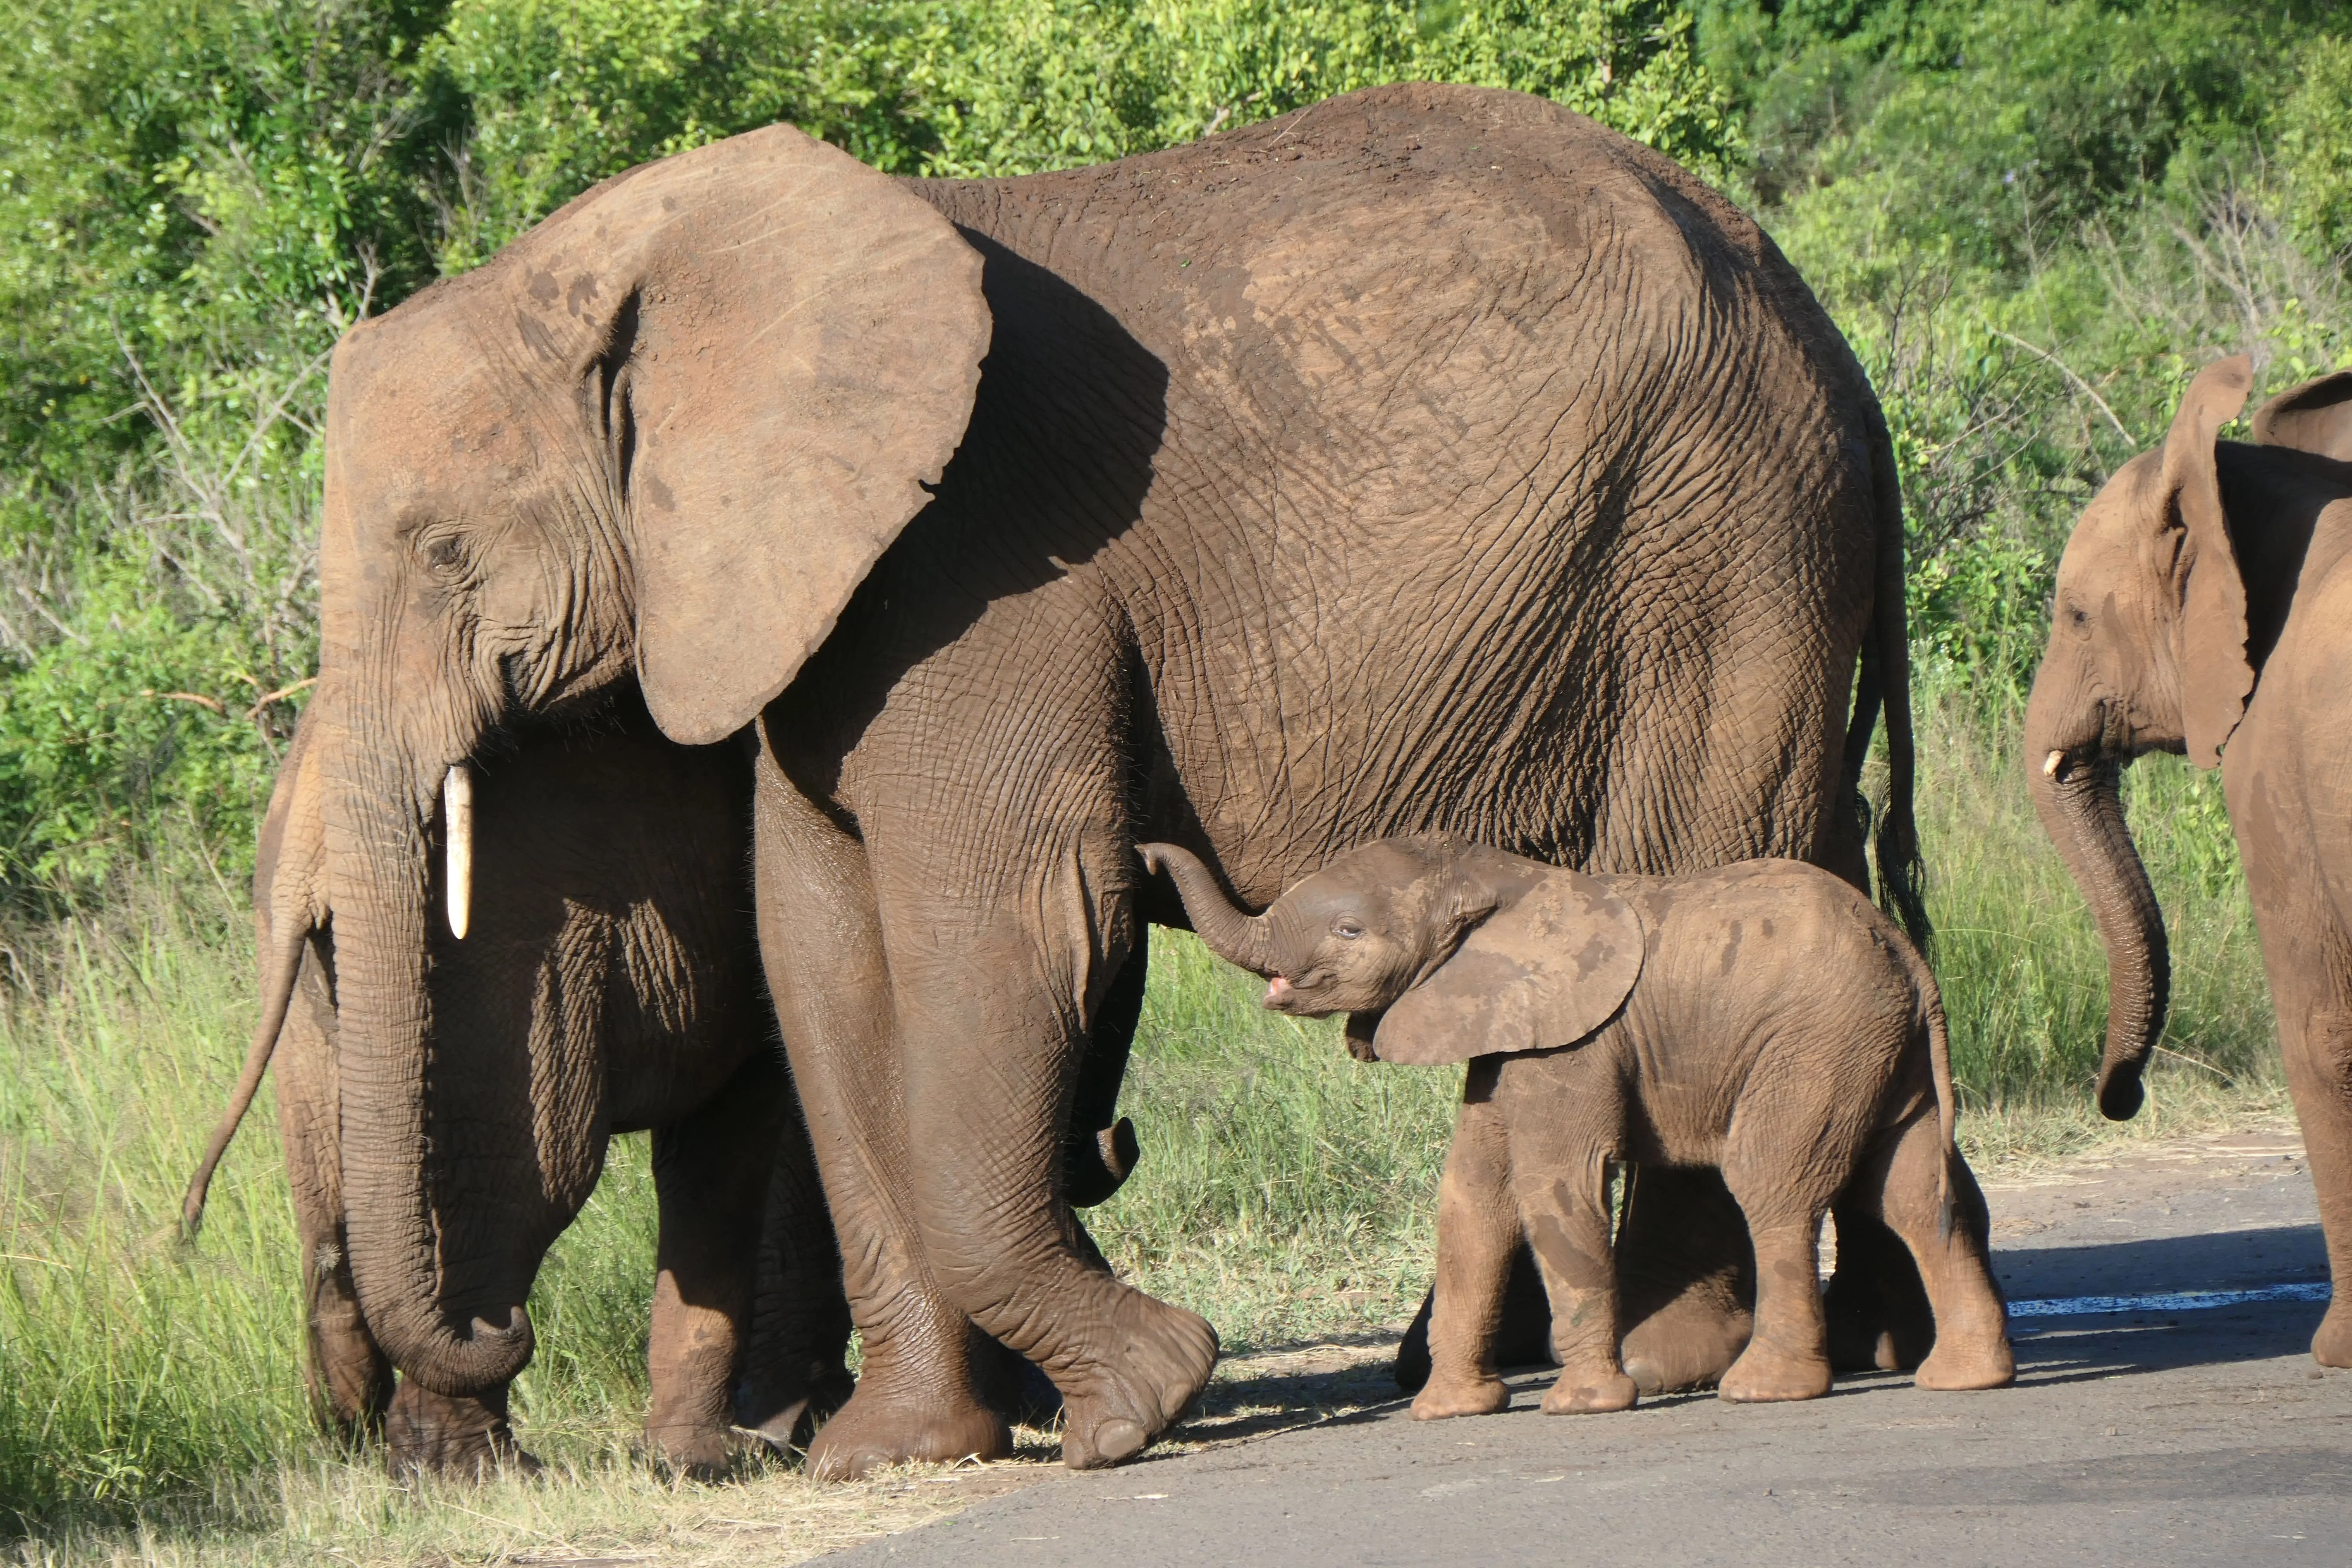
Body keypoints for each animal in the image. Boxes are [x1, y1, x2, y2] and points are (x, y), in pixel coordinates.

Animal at [1142, 837, 2014, 1415]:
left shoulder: (1575, 1042)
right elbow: (1470, 1196)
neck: (1498, 876)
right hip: (1879, 1048)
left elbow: (1554, 1185)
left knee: (1773, 1187)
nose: (1148, 856)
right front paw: (1449, 1412)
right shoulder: (1503, 1031)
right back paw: (1967, 1379)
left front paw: (1582, 1405)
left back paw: (1764, 1390)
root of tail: (1906, 952)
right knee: (1908, 1193)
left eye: (1350, 932)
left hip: (1817, 1041)